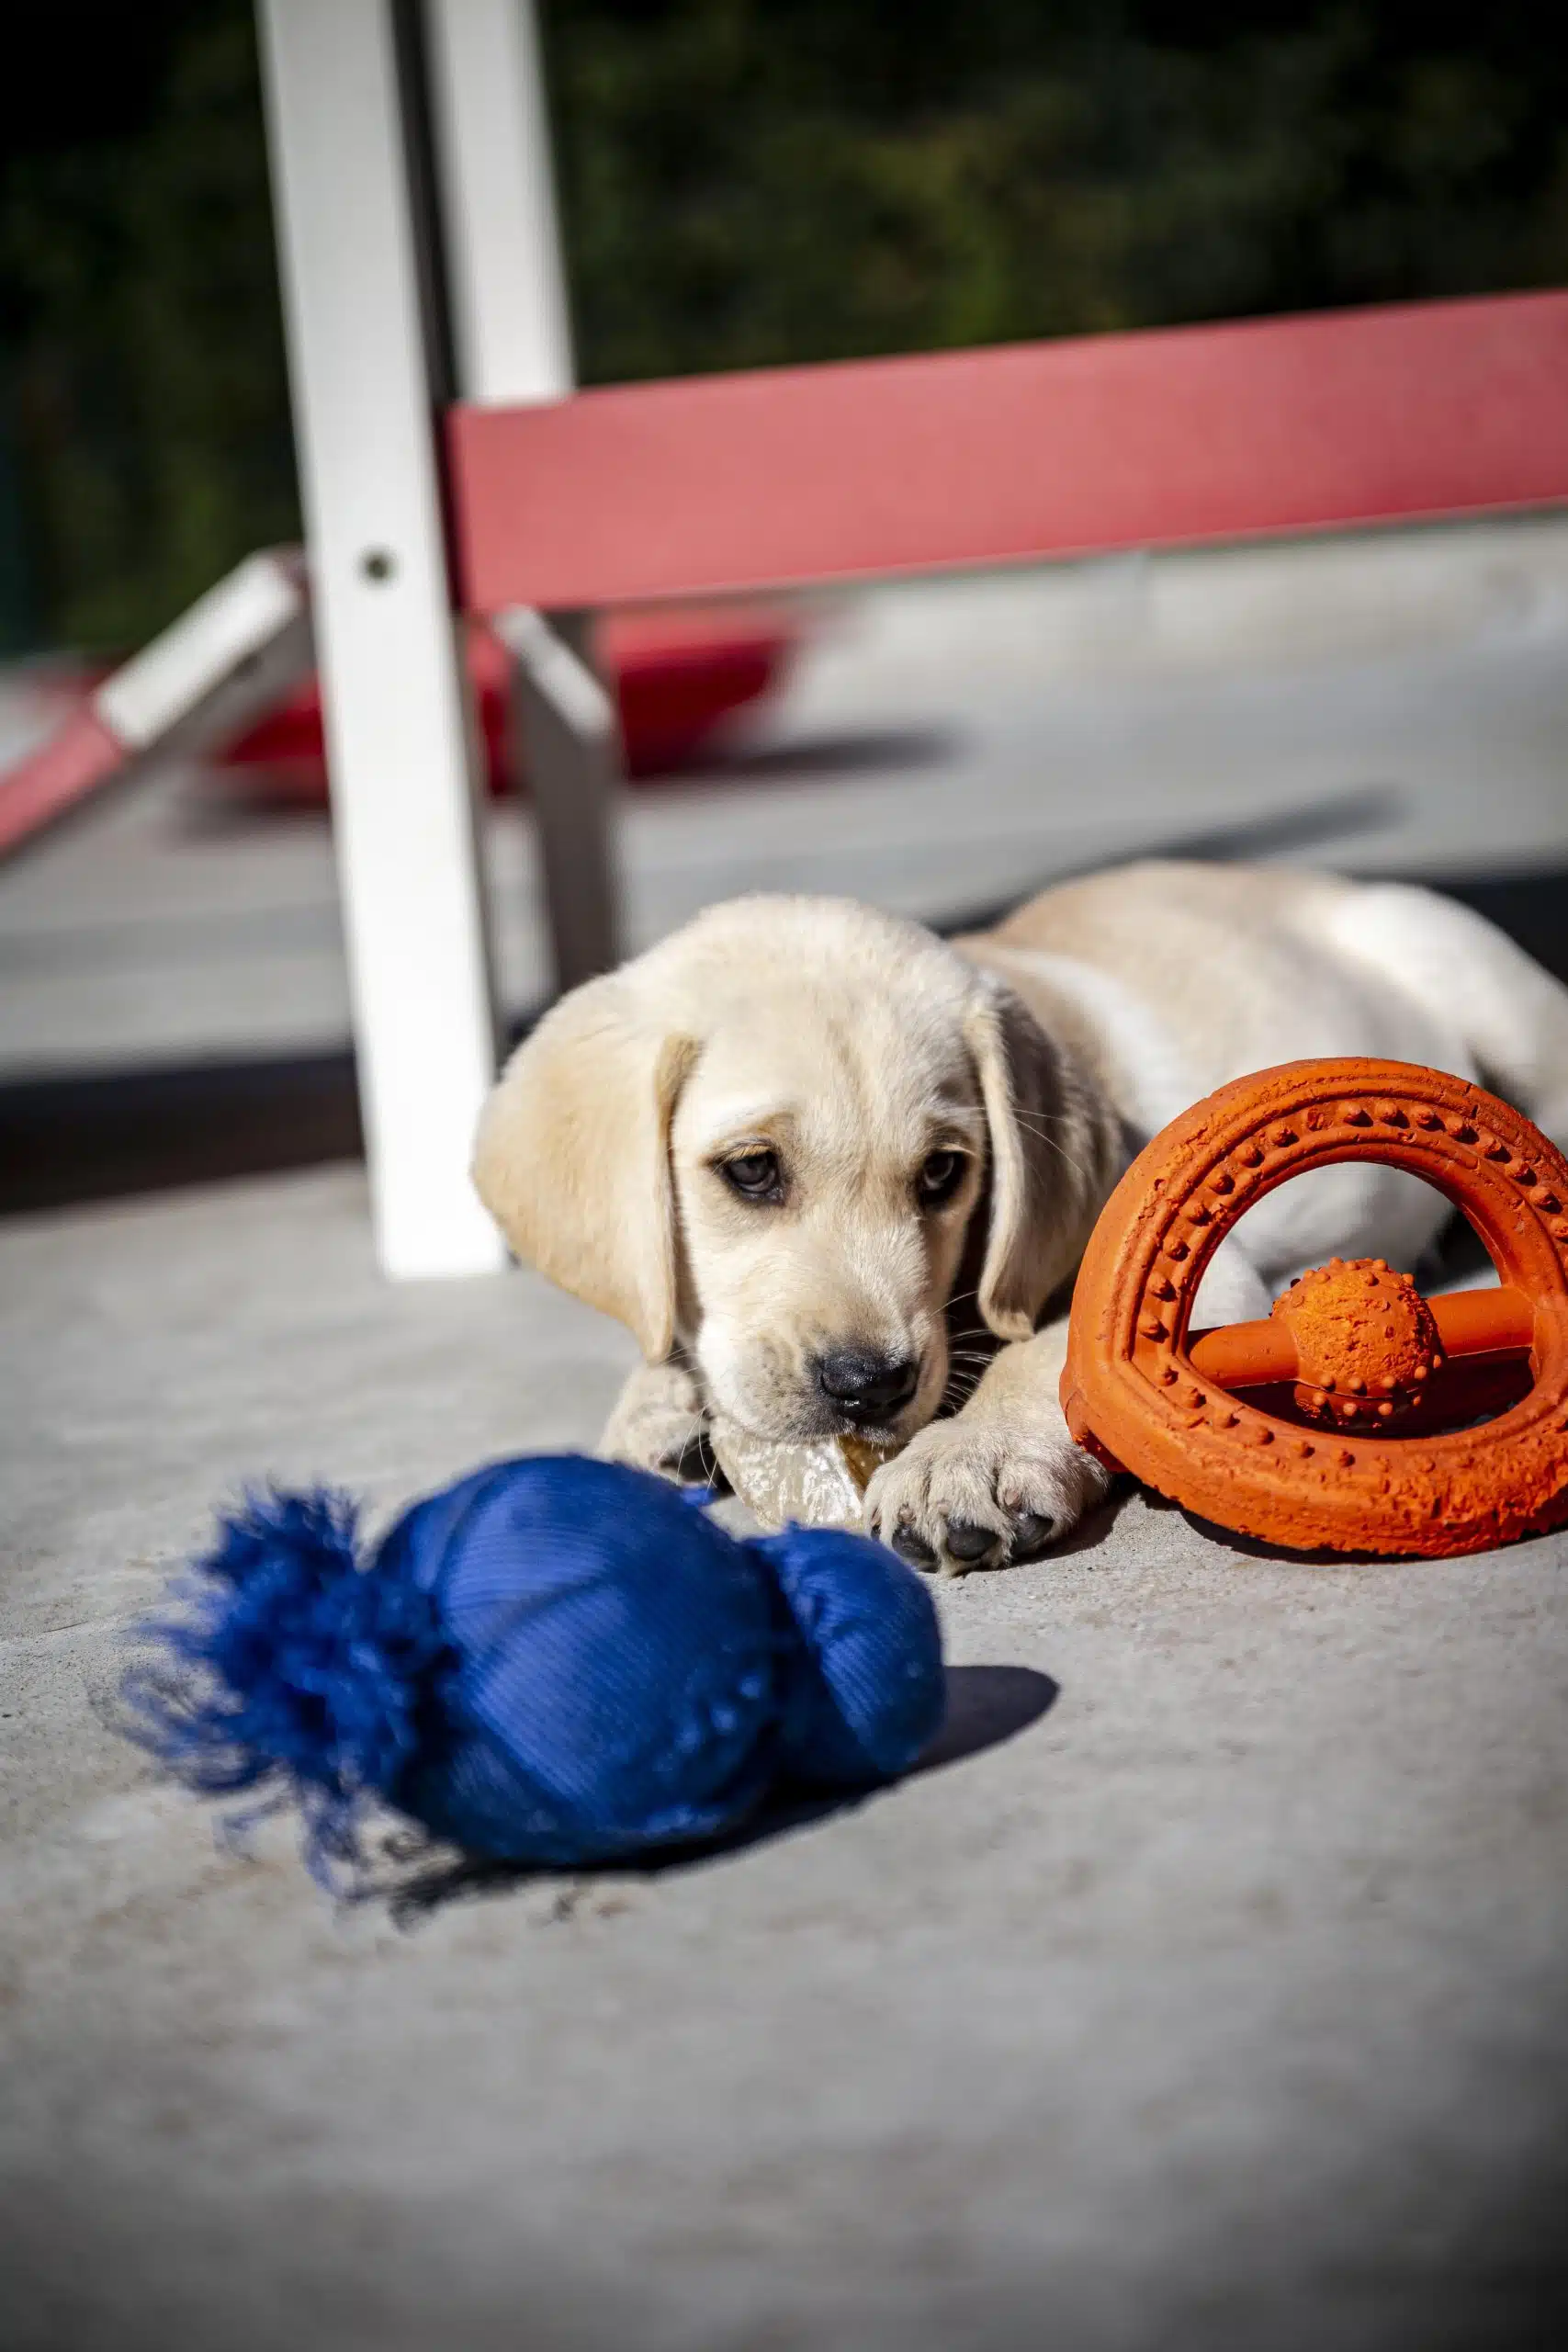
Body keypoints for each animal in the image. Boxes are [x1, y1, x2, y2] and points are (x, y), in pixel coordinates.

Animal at [474, 855, 1568, 1571]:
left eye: (942, 1174)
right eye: (750, 1170)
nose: (870, 1386)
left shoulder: (1190, 1270)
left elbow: (1046, 1347)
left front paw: (968, 1458)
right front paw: (656, 1404)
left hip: (1471, 971)